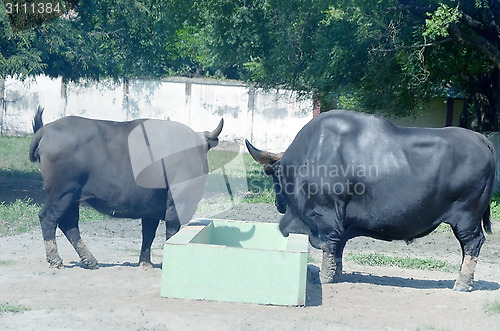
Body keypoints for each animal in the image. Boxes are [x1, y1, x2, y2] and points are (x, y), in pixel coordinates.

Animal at [28, 109, 222, 270]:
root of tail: (46, 130)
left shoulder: (151, 208)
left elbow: (148, 233)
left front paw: (145, 262)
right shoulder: (177, 204)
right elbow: (172, 231)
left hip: (72, 198)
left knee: (69, 224)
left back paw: (89, 260)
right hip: (61, 194)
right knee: (49, 218)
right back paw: (55, 259)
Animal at [246, 109, 492, 290]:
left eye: (275, 177)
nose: (279, 204)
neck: (309, 157)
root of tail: (481, 140)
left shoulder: (325, 216)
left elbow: (328, 244)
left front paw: (325, 277)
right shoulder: (342, 222)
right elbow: (338, 247)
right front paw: (337, 272)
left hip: (467, 218)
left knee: (472, 244)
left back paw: (462, 283)